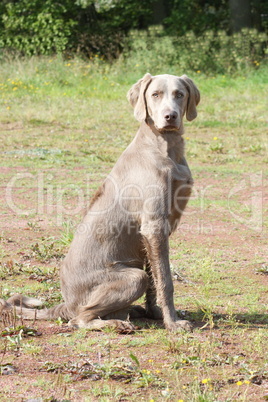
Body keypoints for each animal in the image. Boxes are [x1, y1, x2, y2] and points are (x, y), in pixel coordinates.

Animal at [1, 73, 200, 332]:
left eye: (180, 94)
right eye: (155, 94)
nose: (170, 116)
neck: (165, 147)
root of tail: (65, 305)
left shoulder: (155, 232)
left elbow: (155, 279)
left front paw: (155, 314)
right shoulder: (154, 224)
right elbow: (165, 280)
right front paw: (173, 323)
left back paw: (130, 313)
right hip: (130, 277)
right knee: (79, 319)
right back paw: (117, 323)